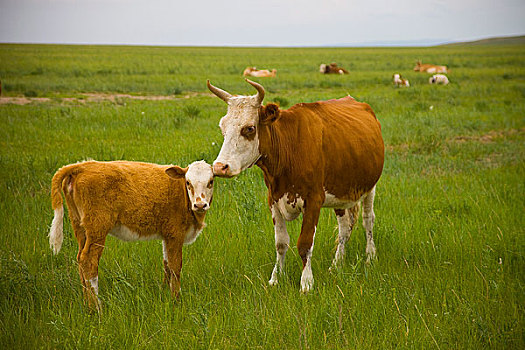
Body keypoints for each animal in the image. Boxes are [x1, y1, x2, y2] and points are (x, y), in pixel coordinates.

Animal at [47, 160, 214, 310]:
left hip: (79, 226)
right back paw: (96, 307)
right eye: (188, 183)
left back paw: (86, 302)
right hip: (97, 228)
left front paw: (164, 292)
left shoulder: (167, 235)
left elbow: (166, 264)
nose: (200, 205)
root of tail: (82, 166)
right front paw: (176, 300)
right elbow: (175, 267)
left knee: (80, 259)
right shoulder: (175, 234)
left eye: (211, 182)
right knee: (88, 261)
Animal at [207, 78, 382, 292]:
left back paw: (370, 257)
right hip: (340, 194)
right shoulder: (273, 200)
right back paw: (337, 264)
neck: (289, 149)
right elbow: (281, 243)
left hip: (370, 188)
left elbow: (305, 244)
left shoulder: (314, 201)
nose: (220, 167)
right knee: (344, 228)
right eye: (222, 127)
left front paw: (306, 283)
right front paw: (275, 278)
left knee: (368, 220)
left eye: (249, 128)